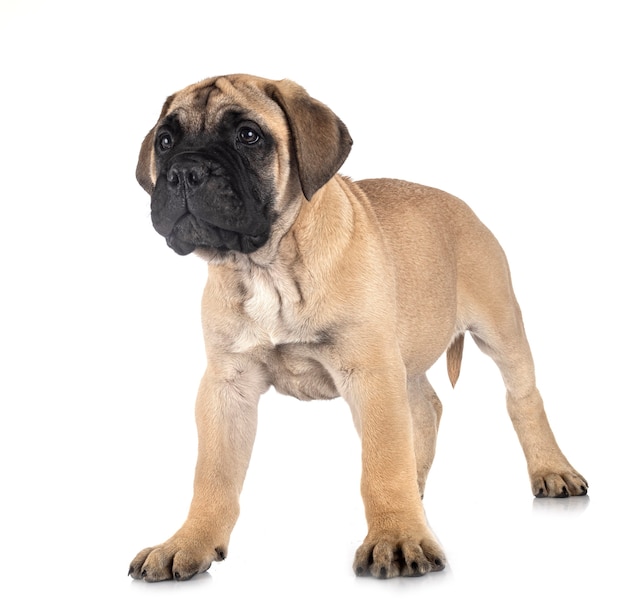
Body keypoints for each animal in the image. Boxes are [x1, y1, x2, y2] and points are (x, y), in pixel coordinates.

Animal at [127, 74, 584, 580]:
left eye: (249, 136)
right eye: (165, 142)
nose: (184, 172)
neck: (268, 266)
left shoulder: (370, 373)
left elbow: (382, 464)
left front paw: (397, 537)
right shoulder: (229, 385)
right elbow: (213, 474)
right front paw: (189, 542)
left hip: (499, 326)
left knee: (523, 398)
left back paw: (551, 470)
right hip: (405, 356)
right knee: (425, 410)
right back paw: (417, 488)